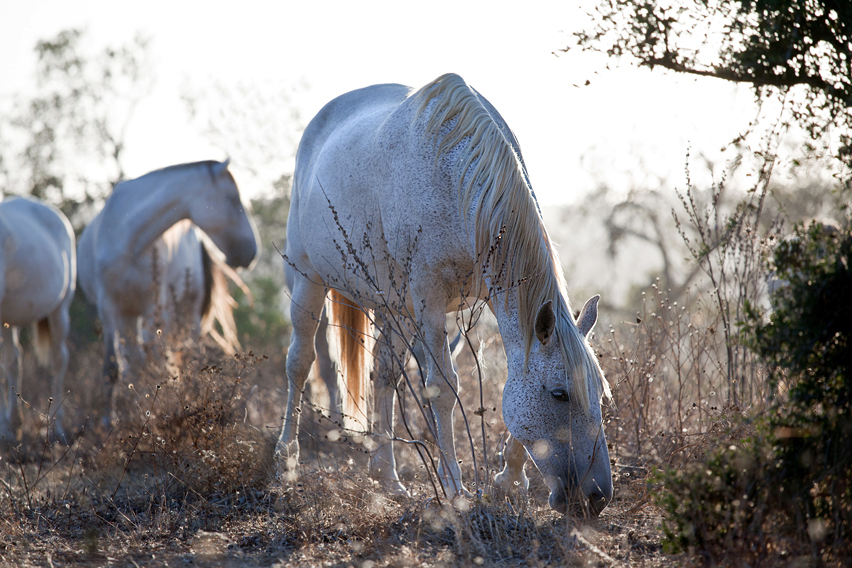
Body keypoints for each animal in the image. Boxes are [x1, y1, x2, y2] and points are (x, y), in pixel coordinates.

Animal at [78, 160, 258, 408]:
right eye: (233, 199)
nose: (252, 252)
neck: (128, 237)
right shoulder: (108, 309)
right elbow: (113, 369)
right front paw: (113, 416)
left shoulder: (153, 307)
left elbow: (153, 361)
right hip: (129, 315)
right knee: (134, 363)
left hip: (183, 313)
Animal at [280, 74, 612, 516]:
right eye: (560, 395)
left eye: (600, 394)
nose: (597, 497)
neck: (457, 179)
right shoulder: (429, 300)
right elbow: (442, 386)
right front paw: (455, 488)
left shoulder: (484, 298)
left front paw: (508, 480)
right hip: (309, 280)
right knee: (300, 361)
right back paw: (286, 458)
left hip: (392, 305)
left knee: (383, 373)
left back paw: (387, 477)